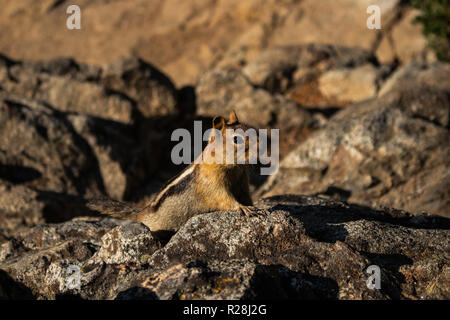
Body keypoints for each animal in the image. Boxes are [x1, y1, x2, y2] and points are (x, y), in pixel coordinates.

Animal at [87, 110, 264, 238]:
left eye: (252, 130)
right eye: (237, 140)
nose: (263, 146)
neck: (234, 167)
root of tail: (142, 213)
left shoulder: (242, 181)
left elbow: (246, 196)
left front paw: (254, 207)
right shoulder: (212, 182)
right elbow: (223, 198)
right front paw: (243, 208)